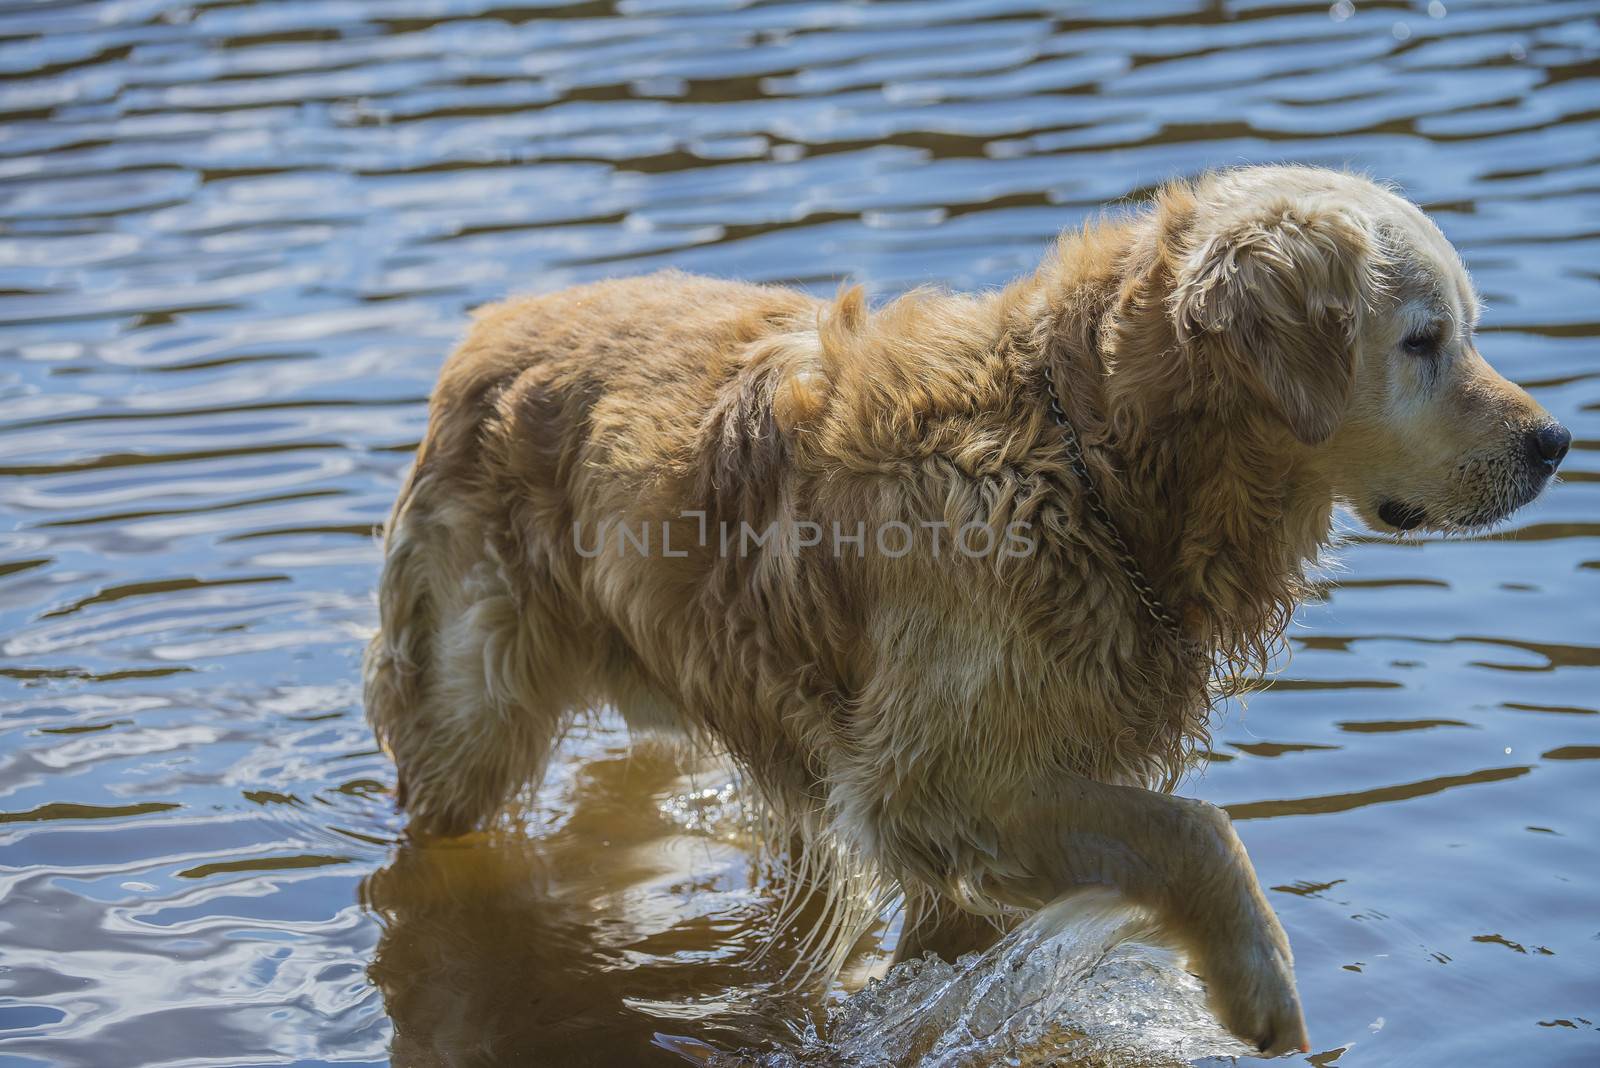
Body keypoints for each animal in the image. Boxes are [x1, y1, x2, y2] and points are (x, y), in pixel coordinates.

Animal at [360, 163, 1561, 1055]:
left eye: (1463, 330)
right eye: (1423, 340)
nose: (1554, 443)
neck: (1085, 459)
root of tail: (485, 328)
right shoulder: (929, 780)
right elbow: (1198, 829)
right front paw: (1257, 981)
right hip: (470, 715)